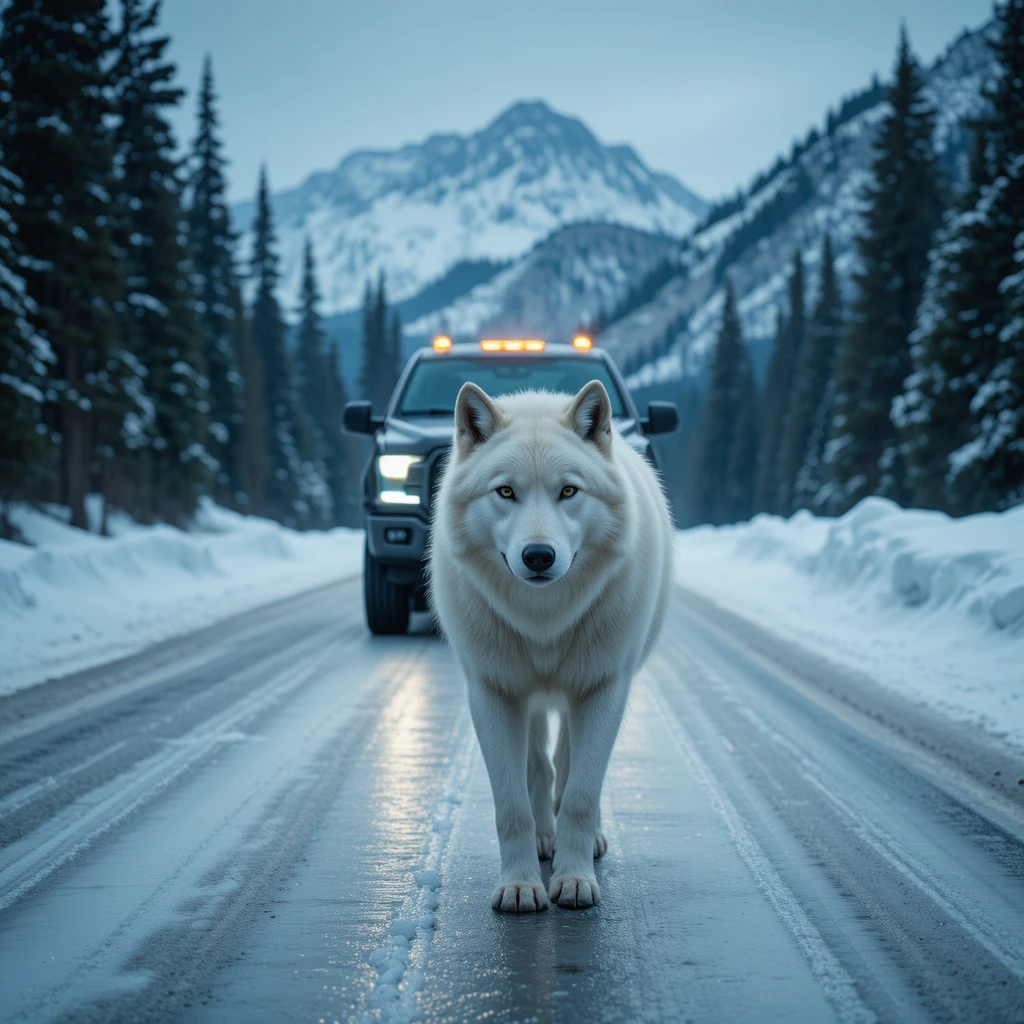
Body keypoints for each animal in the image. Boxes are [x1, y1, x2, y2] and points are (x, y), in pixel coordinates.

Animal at [429, 379, 672, 912]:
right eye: (505, 491)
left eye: (568, 491)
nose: (538, 556)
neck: (544, 621)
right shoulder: (493, 694)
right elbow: (511, 805)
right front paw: (520, 886)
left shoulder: (604, 689)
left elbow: (581, 793)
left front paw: (574, 880)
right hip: (531, 699)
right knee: (539, 764)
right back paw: (544, 838)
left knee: (565, 764)